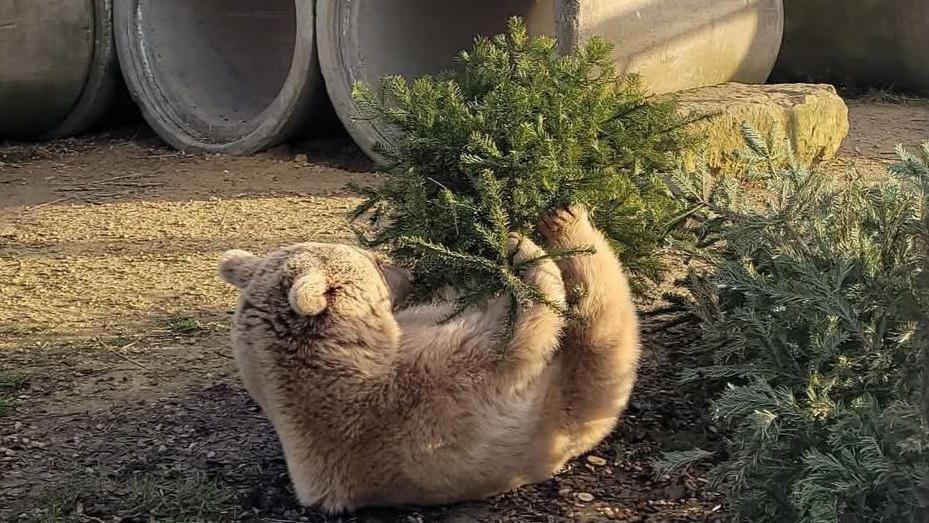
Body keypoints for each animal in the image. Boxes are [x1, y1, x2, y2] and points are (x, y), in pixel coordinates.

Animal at [218, 205, 640, 512]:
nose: (407, 273)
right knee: (601, 317)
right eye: (374, 261)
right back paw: (567, 225)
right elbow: (517, 334)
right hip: (577, 398)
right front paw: (516, 246)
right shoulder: (429, 395)